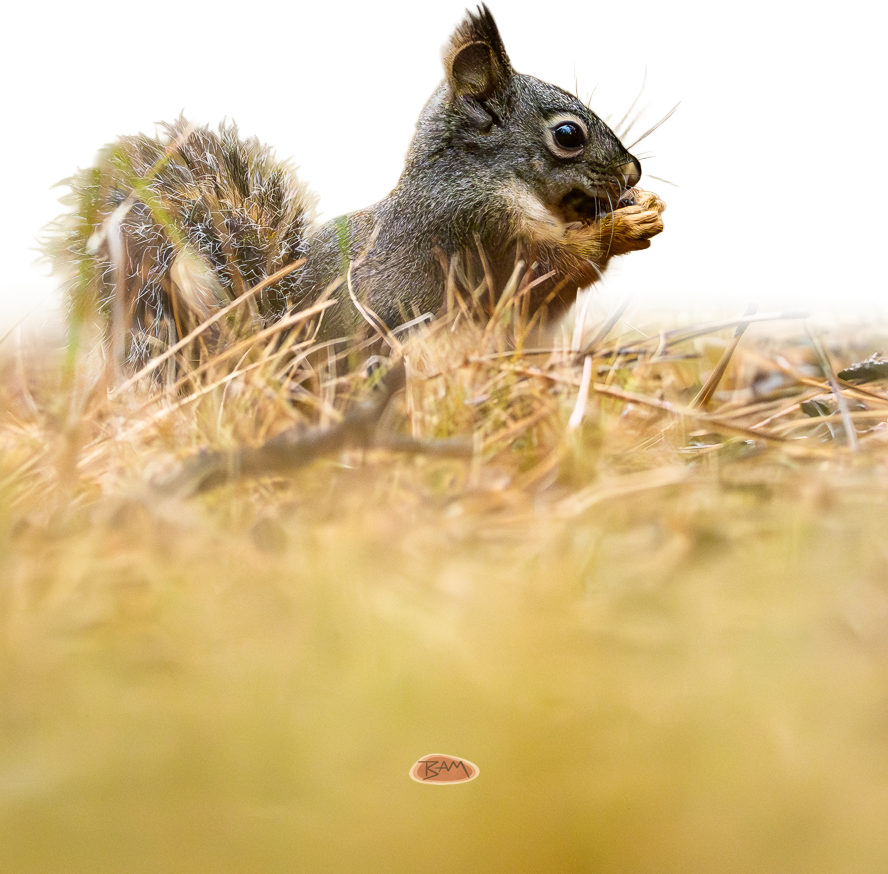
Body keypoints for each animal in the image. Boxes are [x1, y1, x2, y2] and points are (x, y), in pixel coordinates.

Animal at [61, 4, 664, 363]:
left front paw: (644, 206)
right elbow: (548, 271)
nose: (634, 171)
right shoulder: (479, 231)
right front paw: (625, 227)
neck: (479, 175)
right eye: (568, 135)